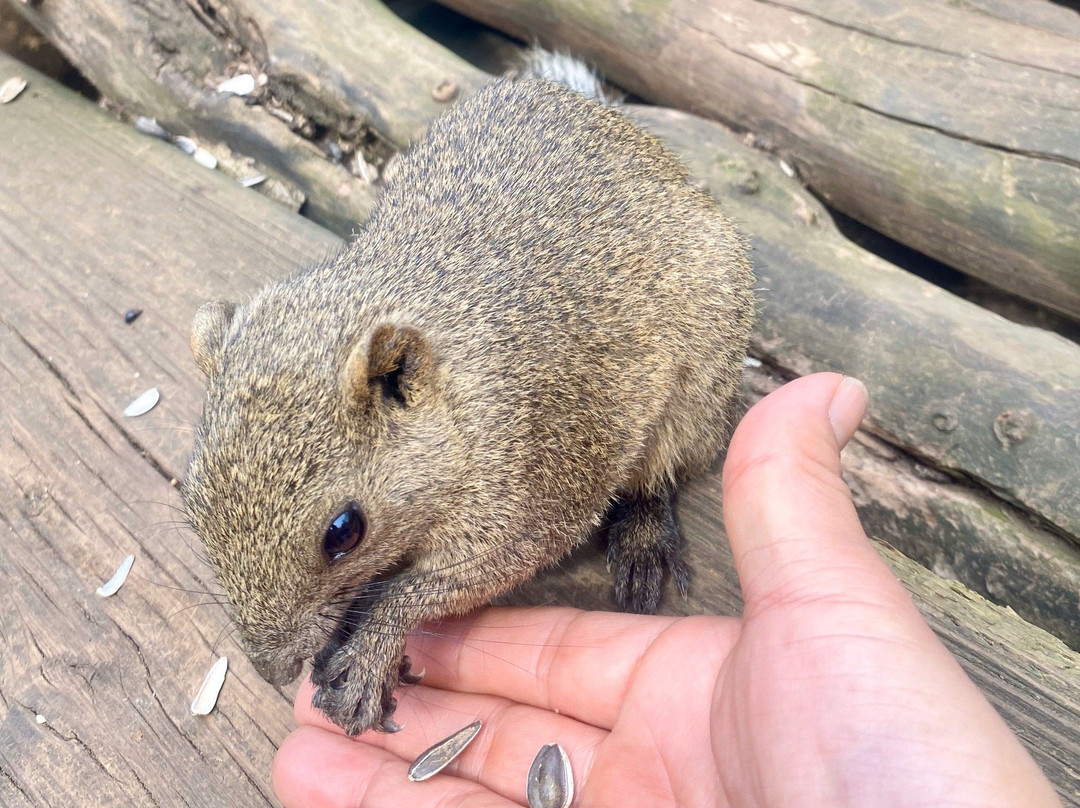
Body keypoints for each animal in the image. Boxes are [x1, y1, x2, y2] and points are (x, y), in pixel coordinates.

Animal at [182, 66, 754, 736]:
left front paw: (372, 646)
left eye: (343, 532)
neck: (457, 402)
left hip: (701, 379)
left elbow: (460, 578)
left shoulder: (534, 486)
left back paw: (643, 534)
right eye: (192, 502)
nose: (272, 669)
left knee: (663, 470)